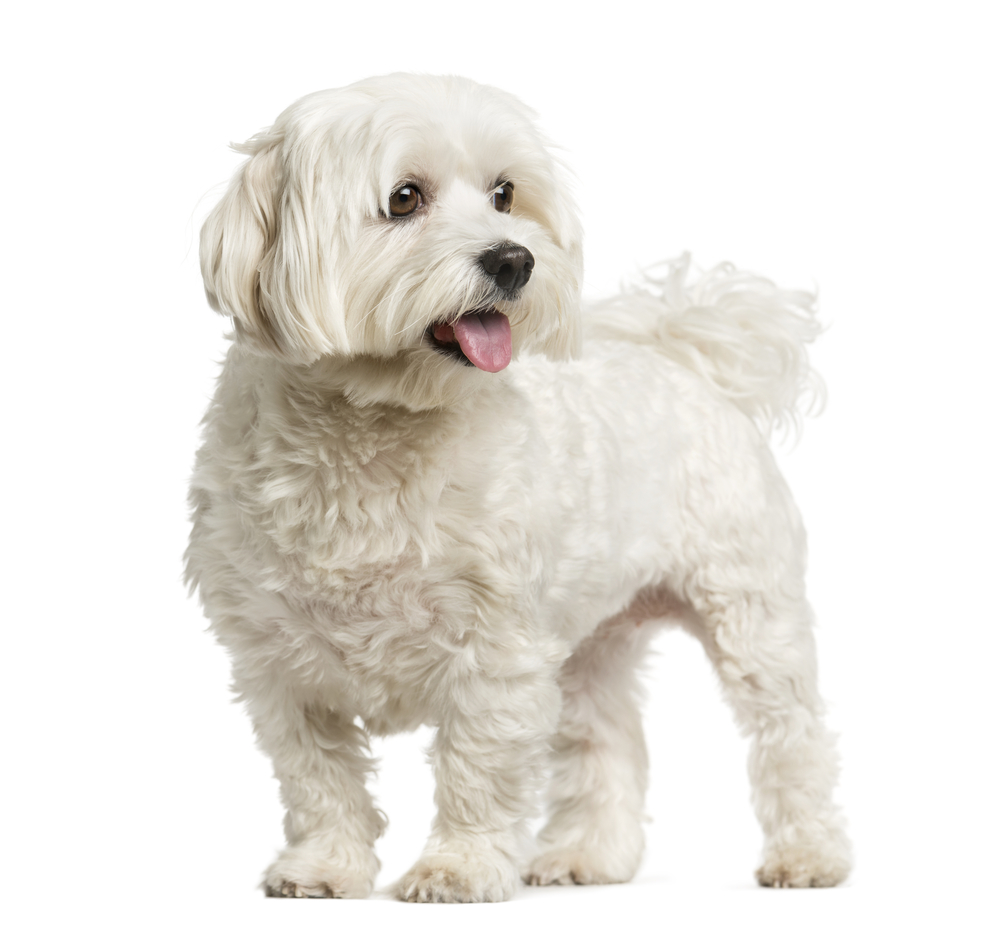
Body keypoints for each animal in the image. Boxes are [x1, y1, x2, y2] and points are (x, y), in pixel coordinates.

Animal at [186, 76, 852, 904]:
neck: (376, 431)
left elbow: (478, 768)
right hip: (590, 639)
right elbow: (318, 777)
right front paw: (323, 867)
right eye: (404, 197)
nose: (514, 260)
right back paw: (589, 856)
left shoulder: (497, 648)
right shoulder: (277, 660)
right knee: (607, 738)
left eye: (504, 194)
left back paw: (809, 855)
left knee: (789, 733)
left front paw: (458, 868)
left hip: (749, 607)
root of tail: (684, 358)